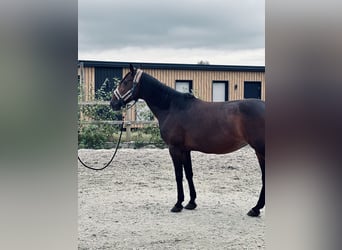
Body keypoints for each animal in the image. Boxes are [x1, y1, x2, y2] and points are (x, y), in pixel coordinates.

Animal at [111, 64, 266, 217]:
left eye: (125, 82)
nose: (113, 102)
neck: (171, 107)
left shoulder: (174, 148)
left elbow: (178, 175)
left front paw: (178, 204)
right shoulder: (185, 150)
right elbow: (189, 174)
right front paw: (191, 202)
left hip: (260, 150)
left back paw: (256, 208)